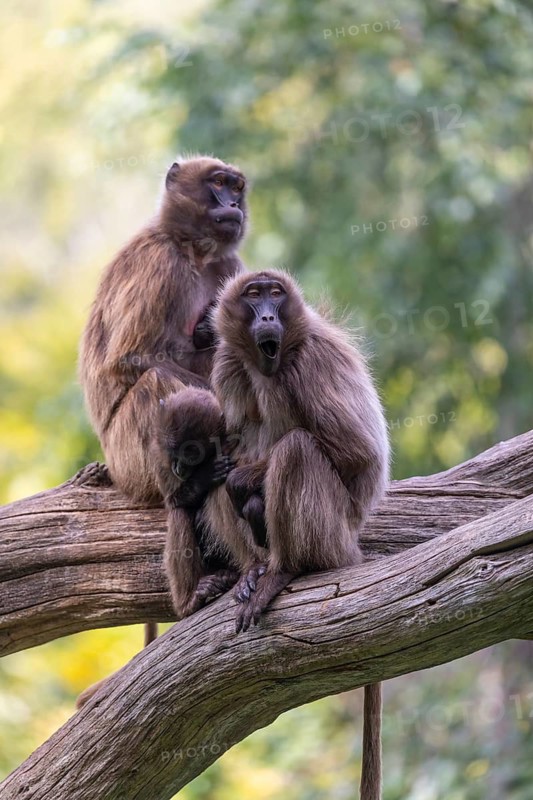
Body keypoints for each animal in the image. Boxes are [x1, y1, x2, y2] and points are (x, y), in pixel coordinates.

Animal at [76, 156, 247, 706]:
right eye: (218, 184)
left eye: (236, 187)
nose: (233, 204)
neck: (193, 250)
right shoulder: (159, 265)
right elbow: (133, 359)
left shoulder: (230, 270)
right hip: (132, 455)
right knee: (156, 381)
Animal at [192, 269, 389, 800]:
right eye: (253, 295)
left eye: (275, 294)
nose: (266, 316)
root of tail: (352, 543)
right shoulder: (226, 363)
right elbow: (229, 440)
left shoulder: (311, 361)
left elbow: (356, 454)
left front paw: (249, 485)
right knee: (222, 466)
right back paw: (251, 569)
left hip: (333, 532)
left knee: (297, 448)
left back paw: (285, 569)